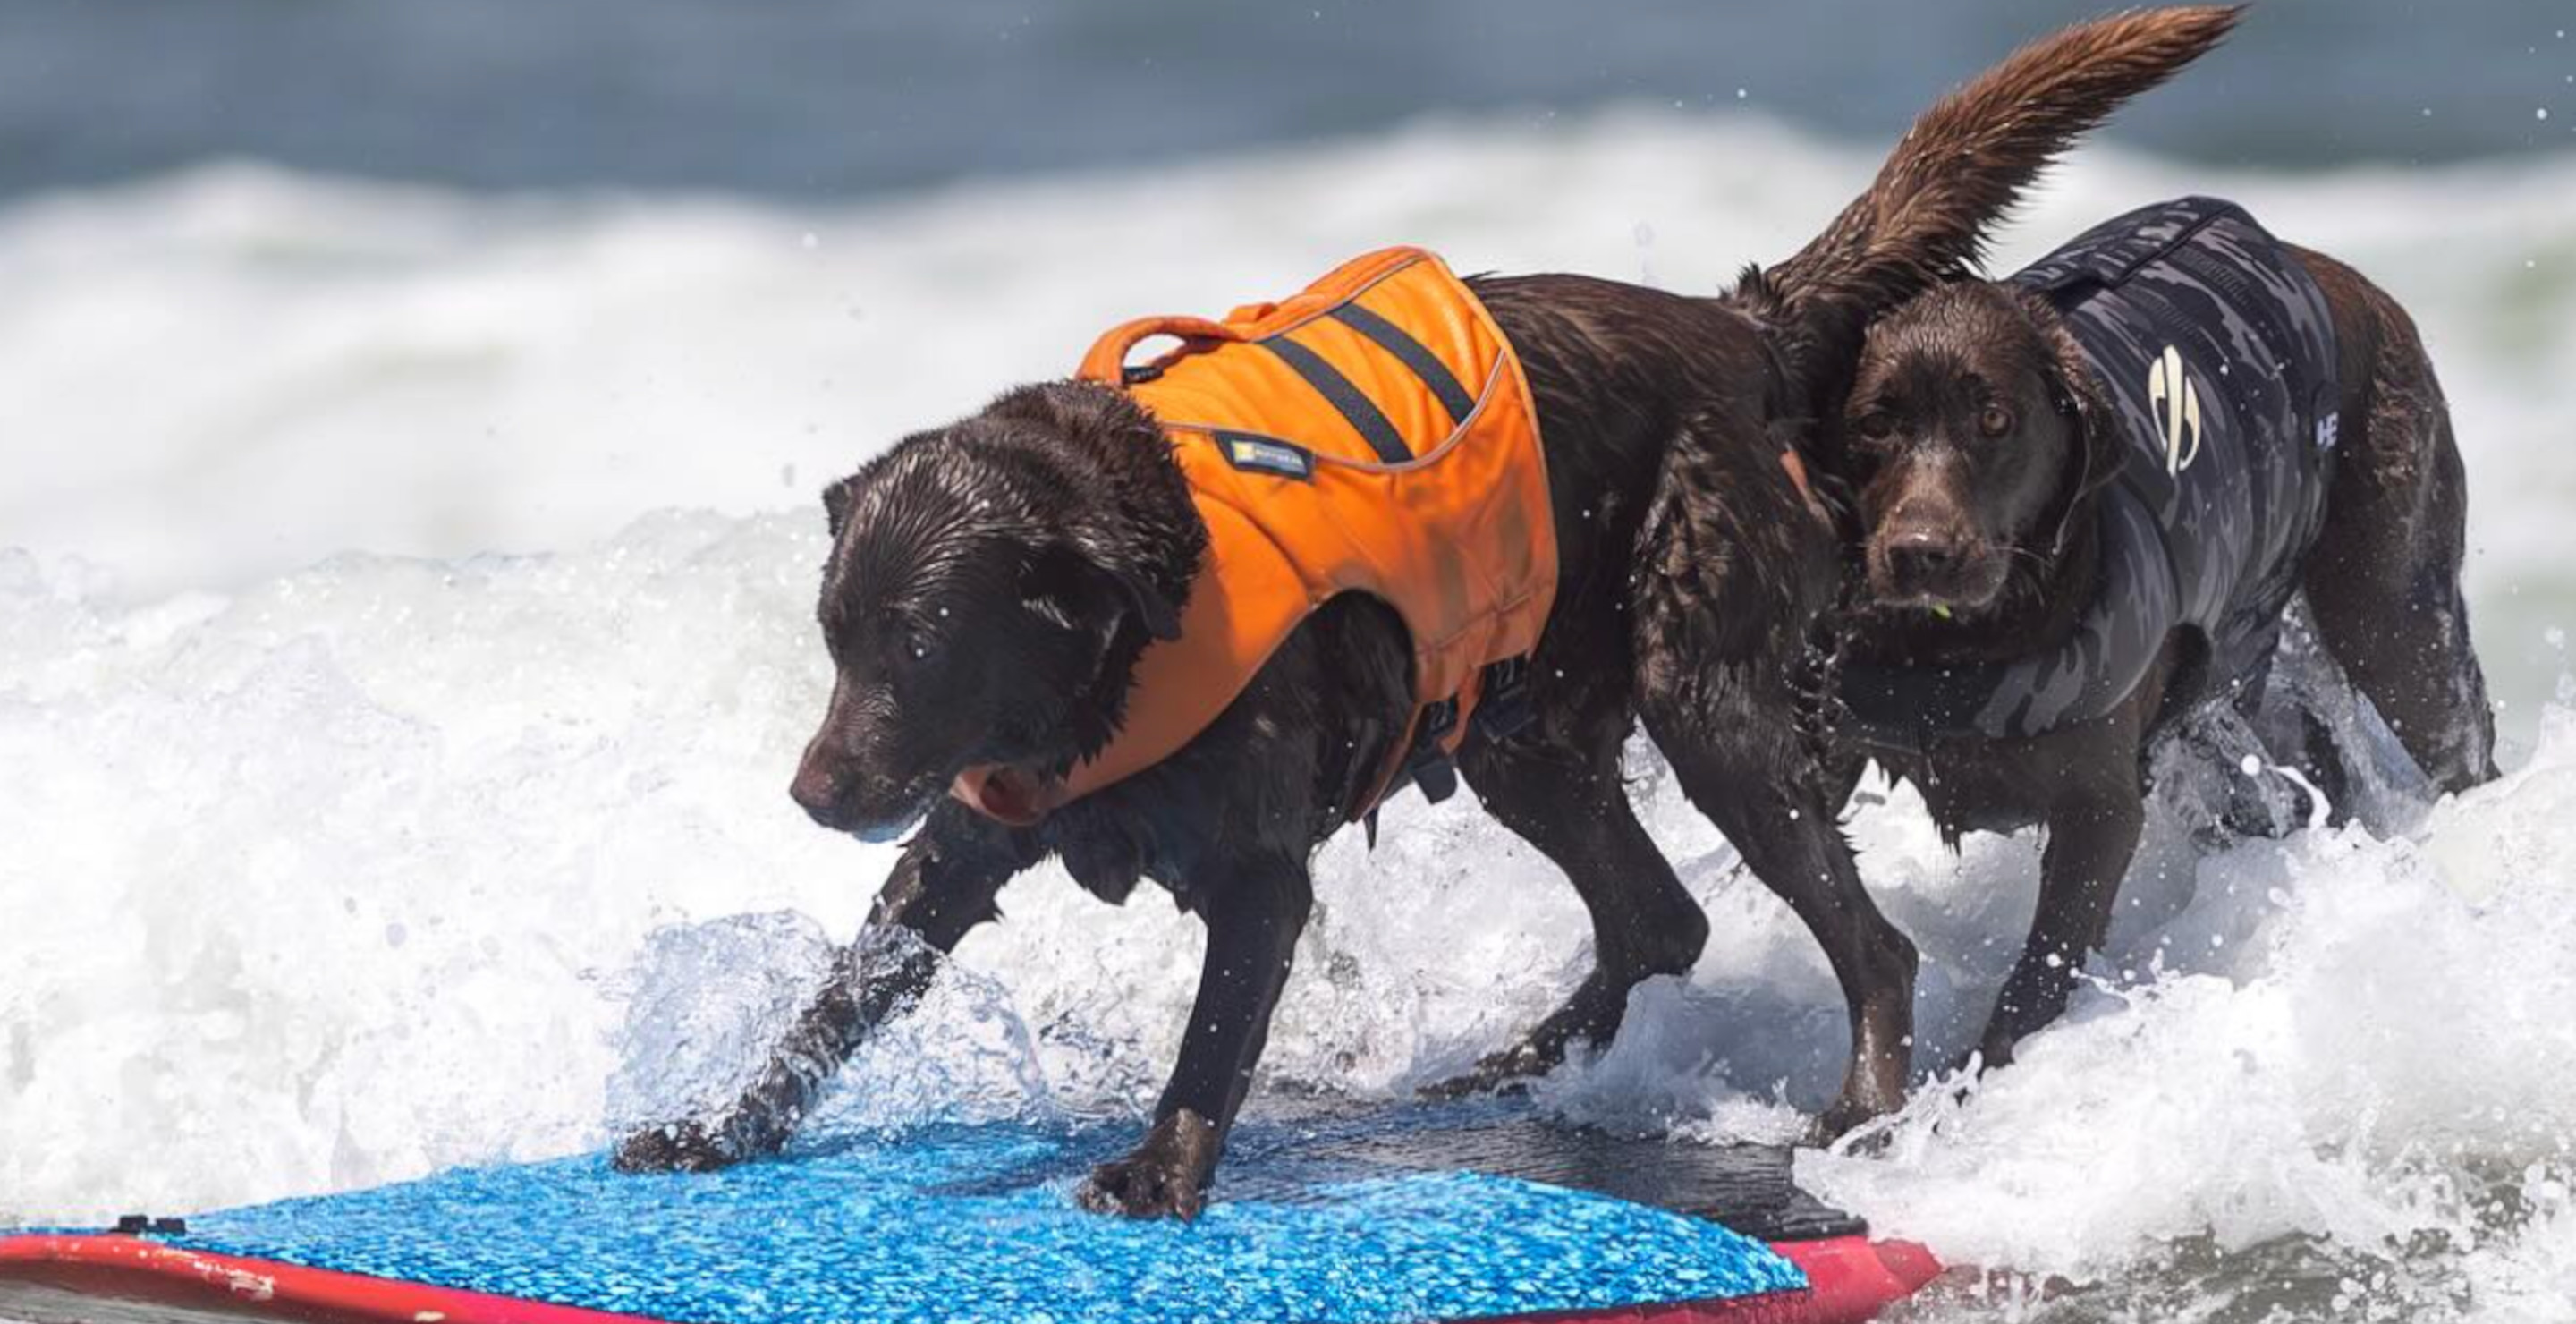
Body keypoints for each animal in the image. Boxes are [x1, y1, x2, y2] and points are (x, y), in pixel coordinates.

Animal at [618, 7, 2235, 1216]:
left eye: (926, 640)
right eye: (835, 639)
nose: (816, 790)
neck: (1130, 604)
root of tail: (1740, 325)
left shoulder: (1257, 876)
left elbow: (1214, 1033)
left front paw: (1160, 1175)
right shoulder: (960, 836)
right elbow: (841, 996)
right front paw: (714, 1129)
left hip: (1703, 693)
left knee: (1866, 945)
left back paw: (1858, 1100)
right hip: (1525, 730)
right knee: (1659, 920)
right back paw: (1505, 1069)